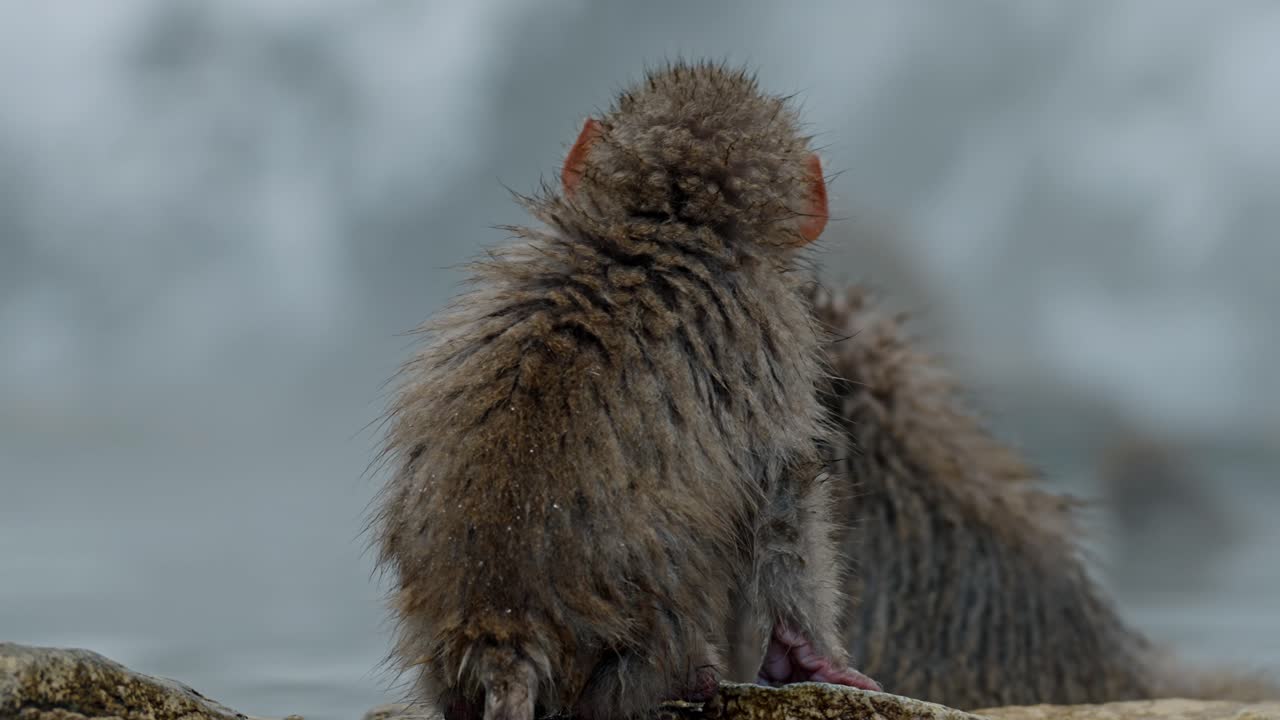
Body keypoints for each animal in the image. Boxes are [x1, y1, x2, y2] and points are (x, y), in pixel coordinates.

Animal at [373, 62, 878, 720]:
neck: (669, 224)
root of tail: (501, 626)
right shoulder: (777, 342)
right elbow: (784, 503)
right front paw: (811, 658)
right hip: (639, 644)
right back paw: (694, 681)